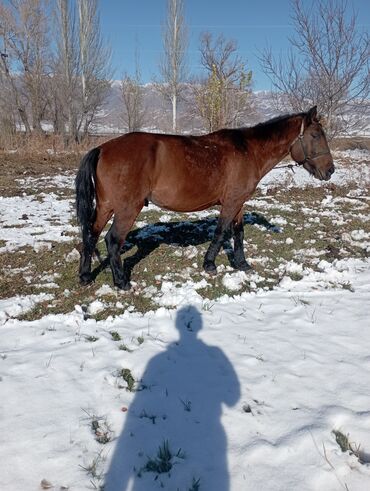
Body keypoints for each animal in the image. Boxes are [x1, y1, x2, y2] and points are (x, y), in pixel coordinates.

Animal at [76, 106, 336, 290]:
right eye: (315, 135)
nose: (330, 170)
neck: (248, 150)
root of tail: (103, 148)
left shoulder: (238, 202)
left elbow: (238, 232)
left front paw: (242, 264)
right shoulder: (231, 202)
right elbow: (221, 232)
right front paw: (209, 264)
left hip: (106, 206)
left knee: (91, 234)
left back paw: (85, 276)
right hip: (128, 208)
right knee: (112, 240)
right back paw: (121, 282)